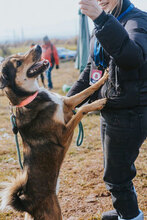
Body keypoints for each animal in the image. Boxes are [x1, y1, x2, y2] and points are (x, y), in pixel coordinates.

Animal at [0, 45, 108, 220]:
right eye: (18, 63)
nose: (37, 46)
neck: (30, 98)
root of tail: (26, 204)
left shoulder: (67, 103)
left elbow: (86, 91)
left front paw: (104, 77)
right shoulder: (62, 135)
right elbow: (82, 109)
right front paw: (98, 102)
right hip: (54, 212)